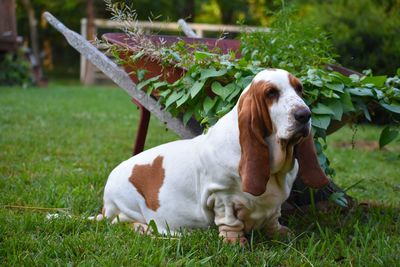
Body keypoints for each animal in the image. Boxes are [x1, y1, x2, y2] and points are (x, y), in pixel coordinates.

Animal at [92, 68, 330, 245]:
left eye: (299, 89)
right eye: (271, 93)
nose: (305, 115)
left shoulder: (274, 205)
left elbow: (273, 218)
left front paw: (280, 233)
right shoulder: (222, 196)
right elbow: (230, 222)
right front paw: (235, 244)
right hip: (126, 204)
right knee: (120, 222)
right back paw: (145, 229)